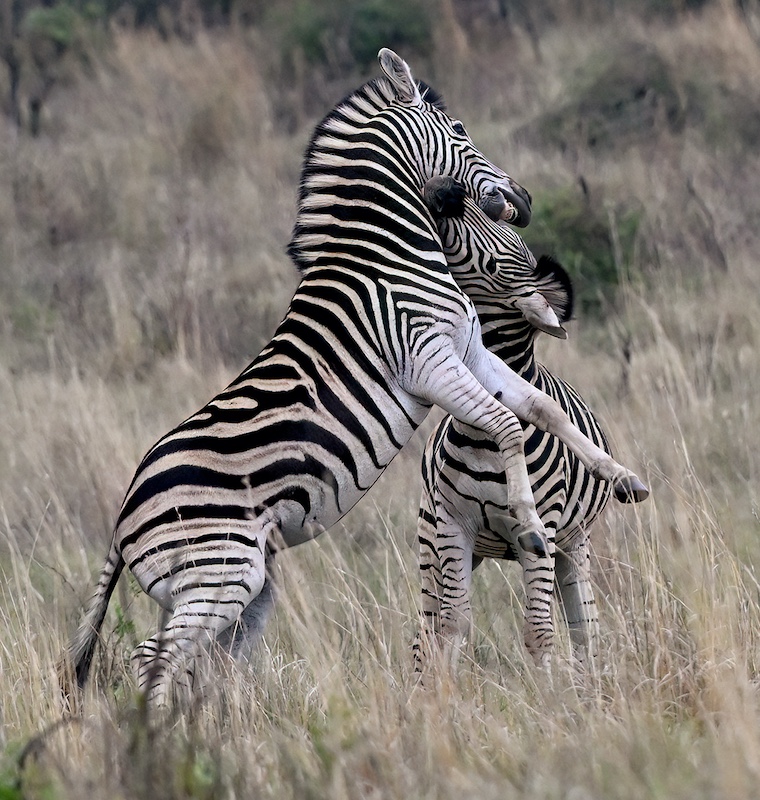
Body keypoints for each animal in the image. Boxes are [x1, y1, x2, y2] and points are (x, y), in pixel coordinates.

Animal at [415, 176, 634, 672]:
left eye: (496, 263)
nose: (444, 190)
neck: (481, 439)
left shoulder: (543, 531)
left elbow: (540, 633)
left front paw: (549, 693)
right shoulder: (453, 524)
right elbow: (451, 626)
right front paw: (445, 694)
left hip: (572, 547)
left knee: (584, 631)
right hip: (431, 542)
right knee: (424, 631)